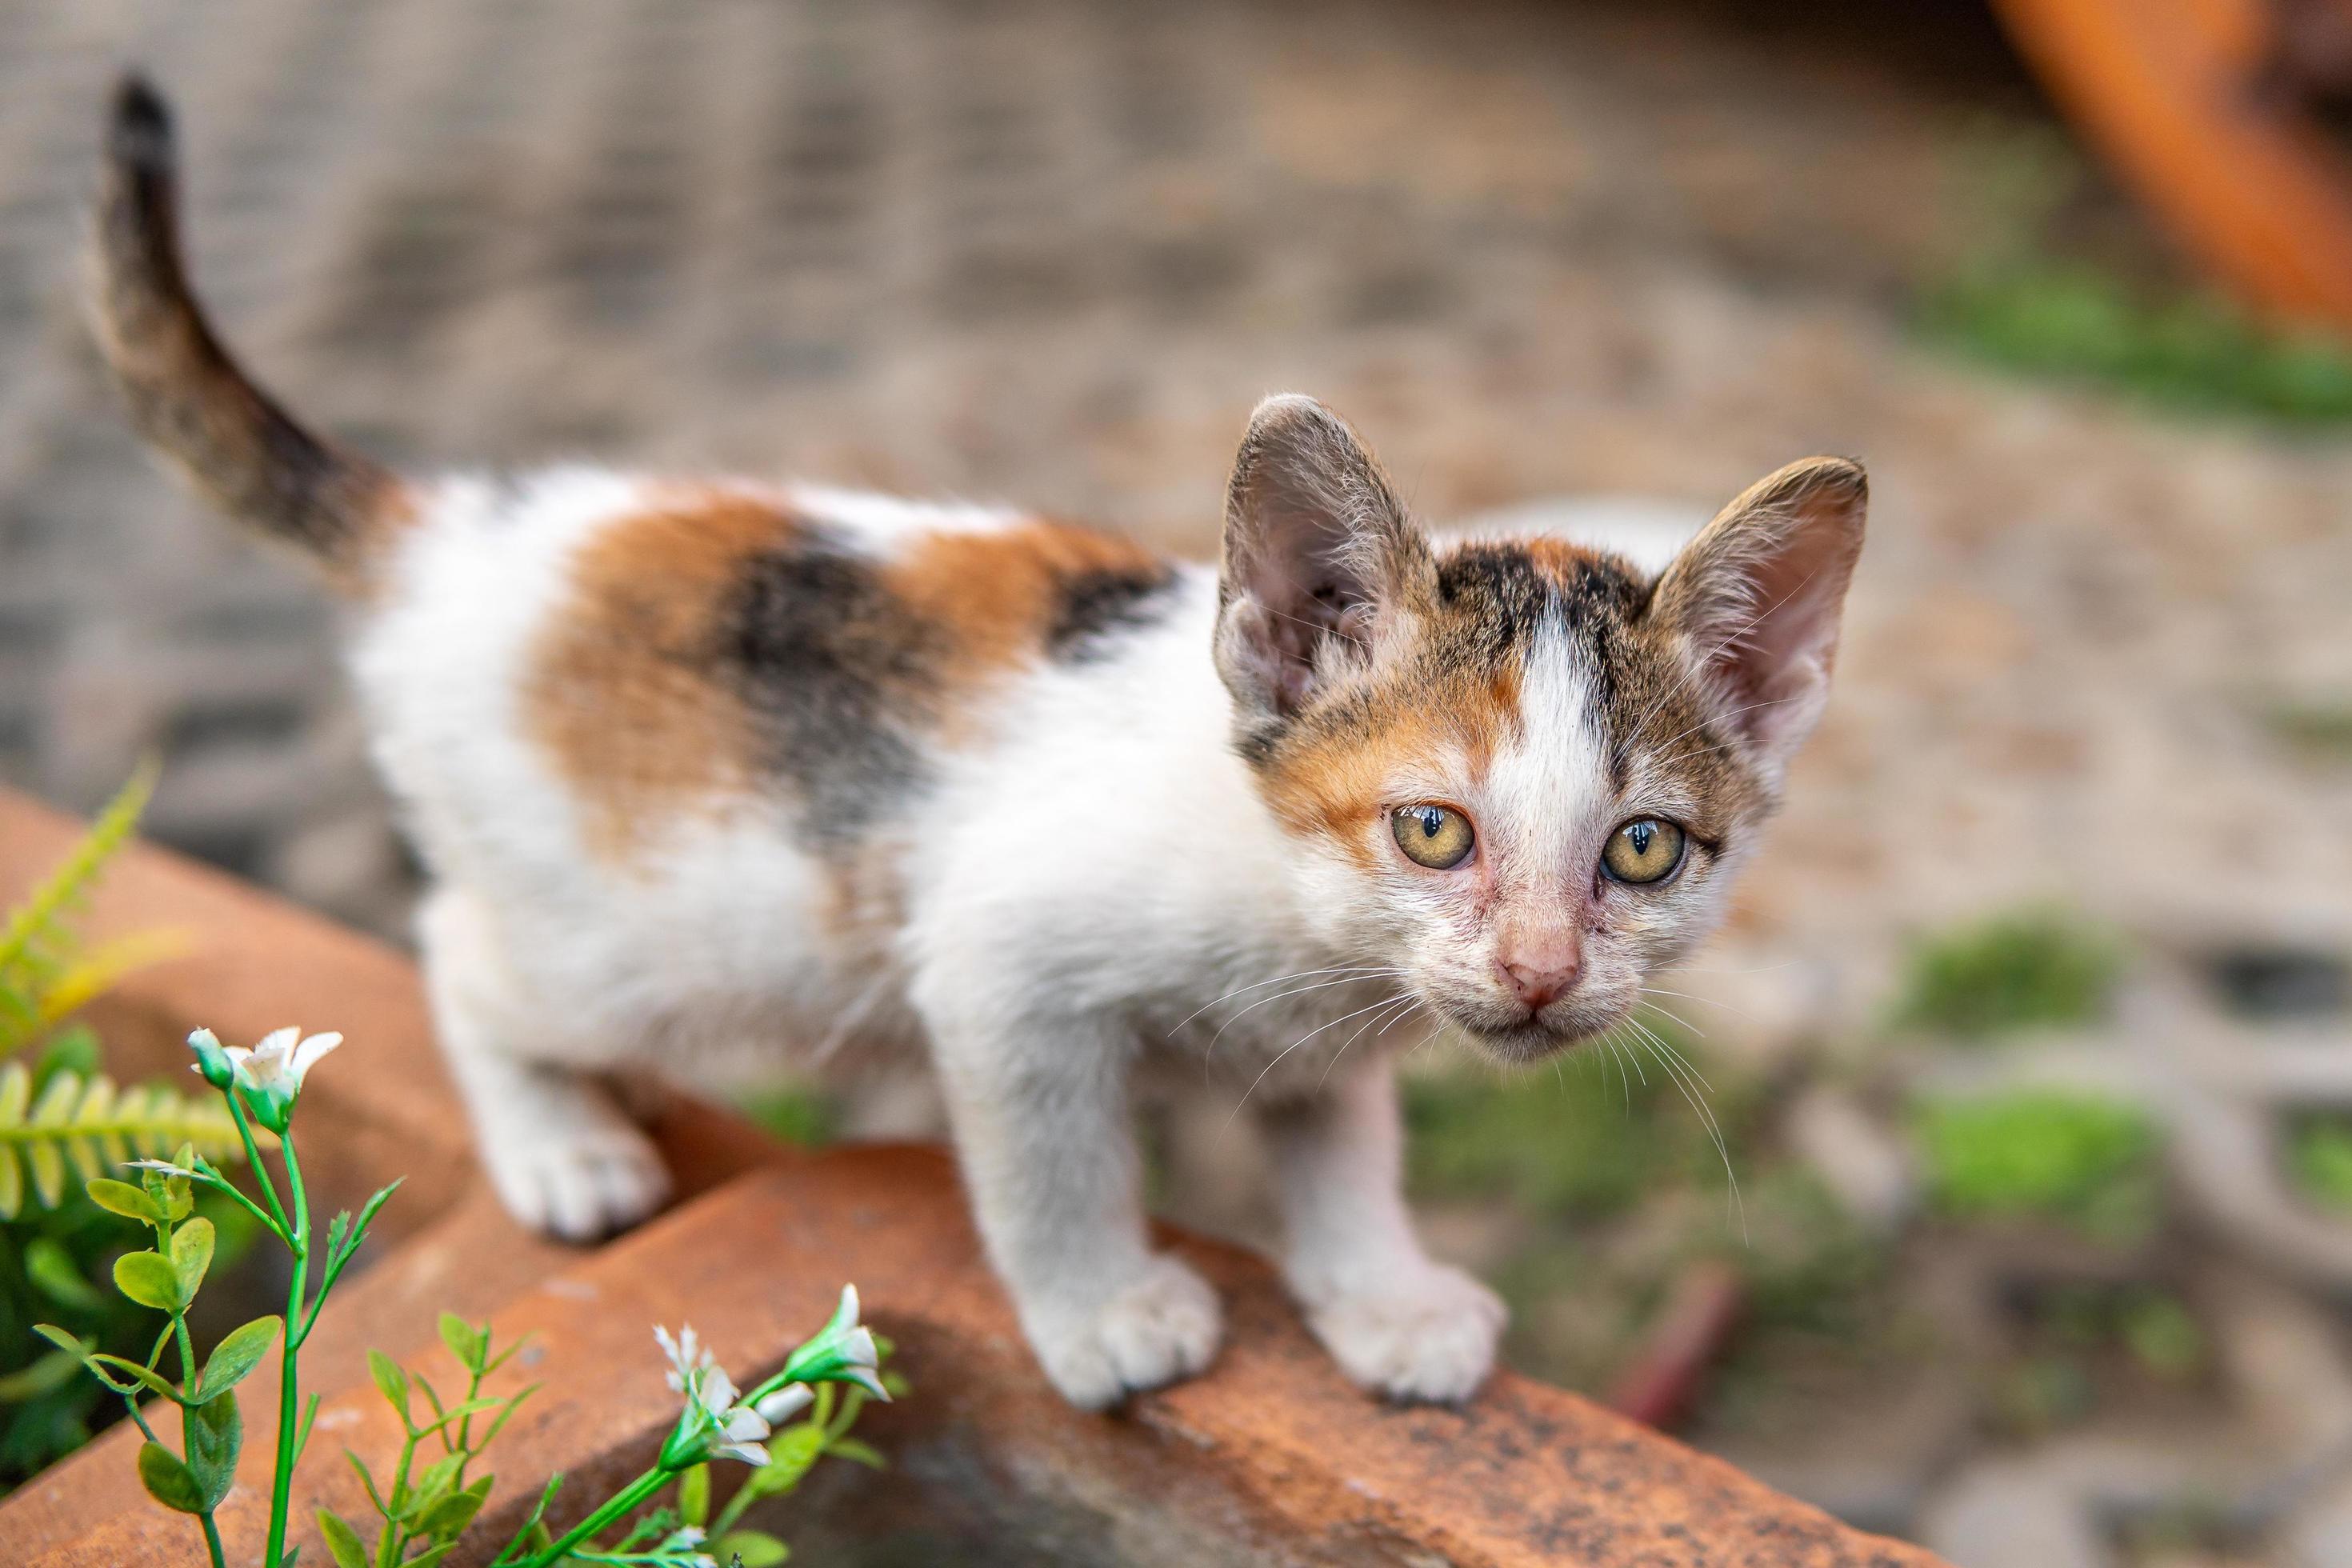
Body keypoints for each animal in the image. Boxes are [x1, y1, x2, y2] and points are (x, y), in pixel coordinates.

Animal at [91, 76, 1862, 1410]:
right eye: (1433, 829)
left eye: (1645, 849)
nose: (1545, 976)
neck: (1298, 919)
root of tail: (451, 533)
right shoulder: (1003, 966)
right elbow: (1051, 1158)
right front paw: (1109, 1315)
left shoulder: (1325, 1038)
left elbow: (1339, 1141)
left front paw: (1384, 1295)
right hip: (643, 935)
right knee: (462, 949)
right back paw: (563, 1145)